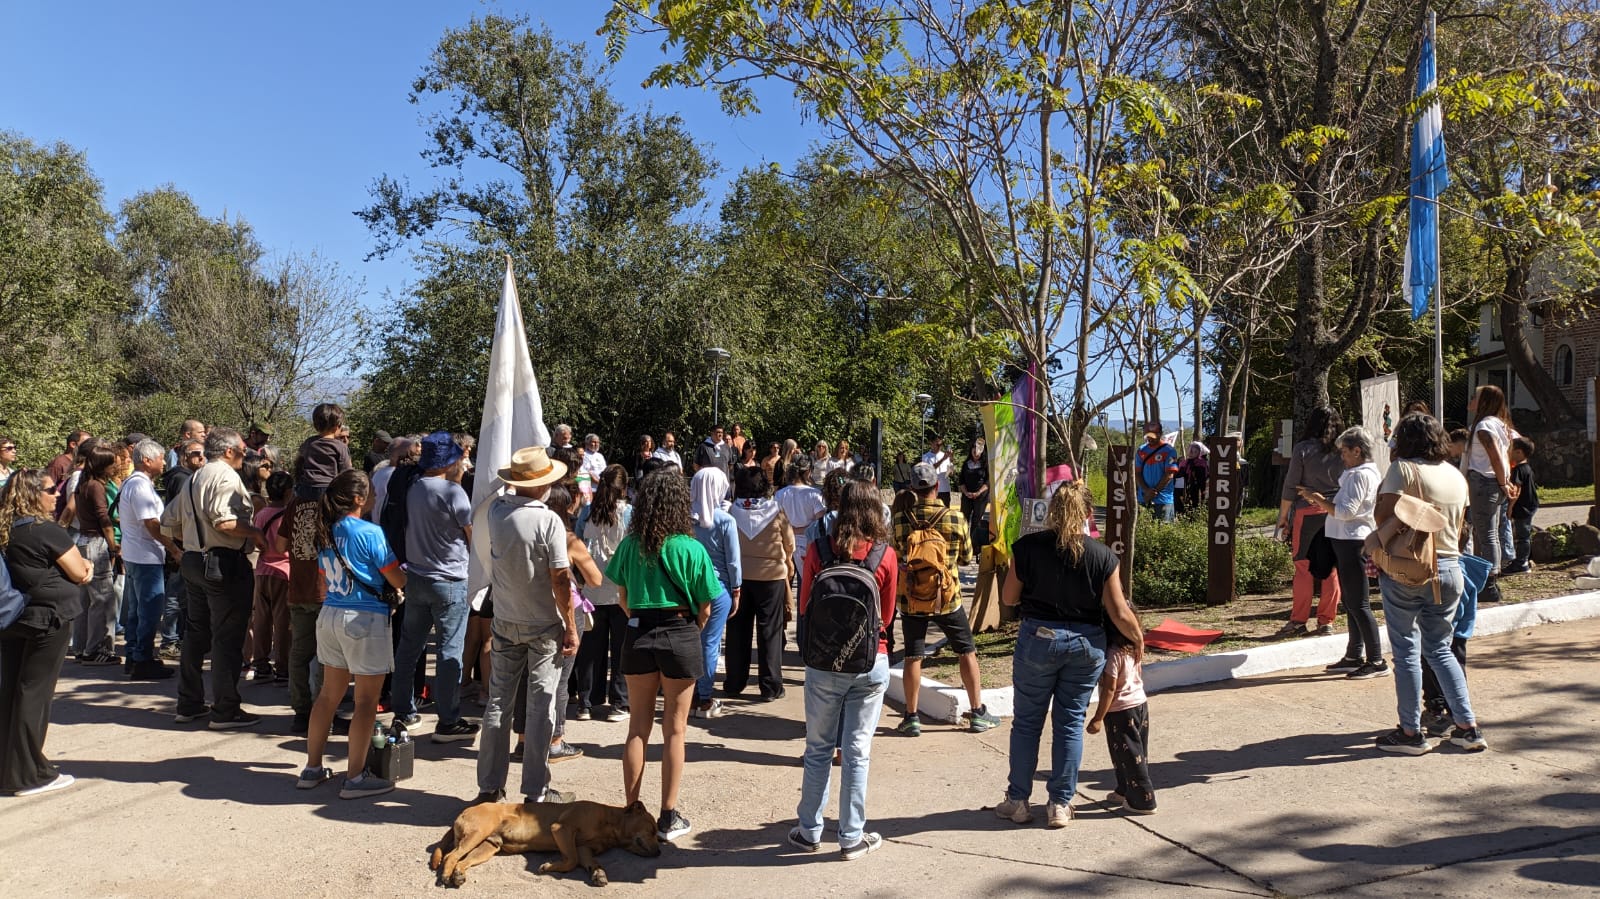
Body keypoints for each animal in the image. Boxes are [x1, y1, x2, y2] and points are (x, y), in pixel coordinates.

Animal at [429, 799, 660, 887]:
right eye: (652, 829)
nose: (659, 852)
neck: (611, 823)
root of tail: (464, 811)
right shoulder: (562, 829)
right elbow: (570, 861)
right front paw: (549, 867)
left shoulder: (584, 848)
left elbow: (589, 862)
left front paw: (598, 873)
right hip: (478, 833)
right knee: (451, 855)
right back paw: (447, 876)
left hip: (487, 847)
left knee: (462, 860)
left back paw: (458, 875)